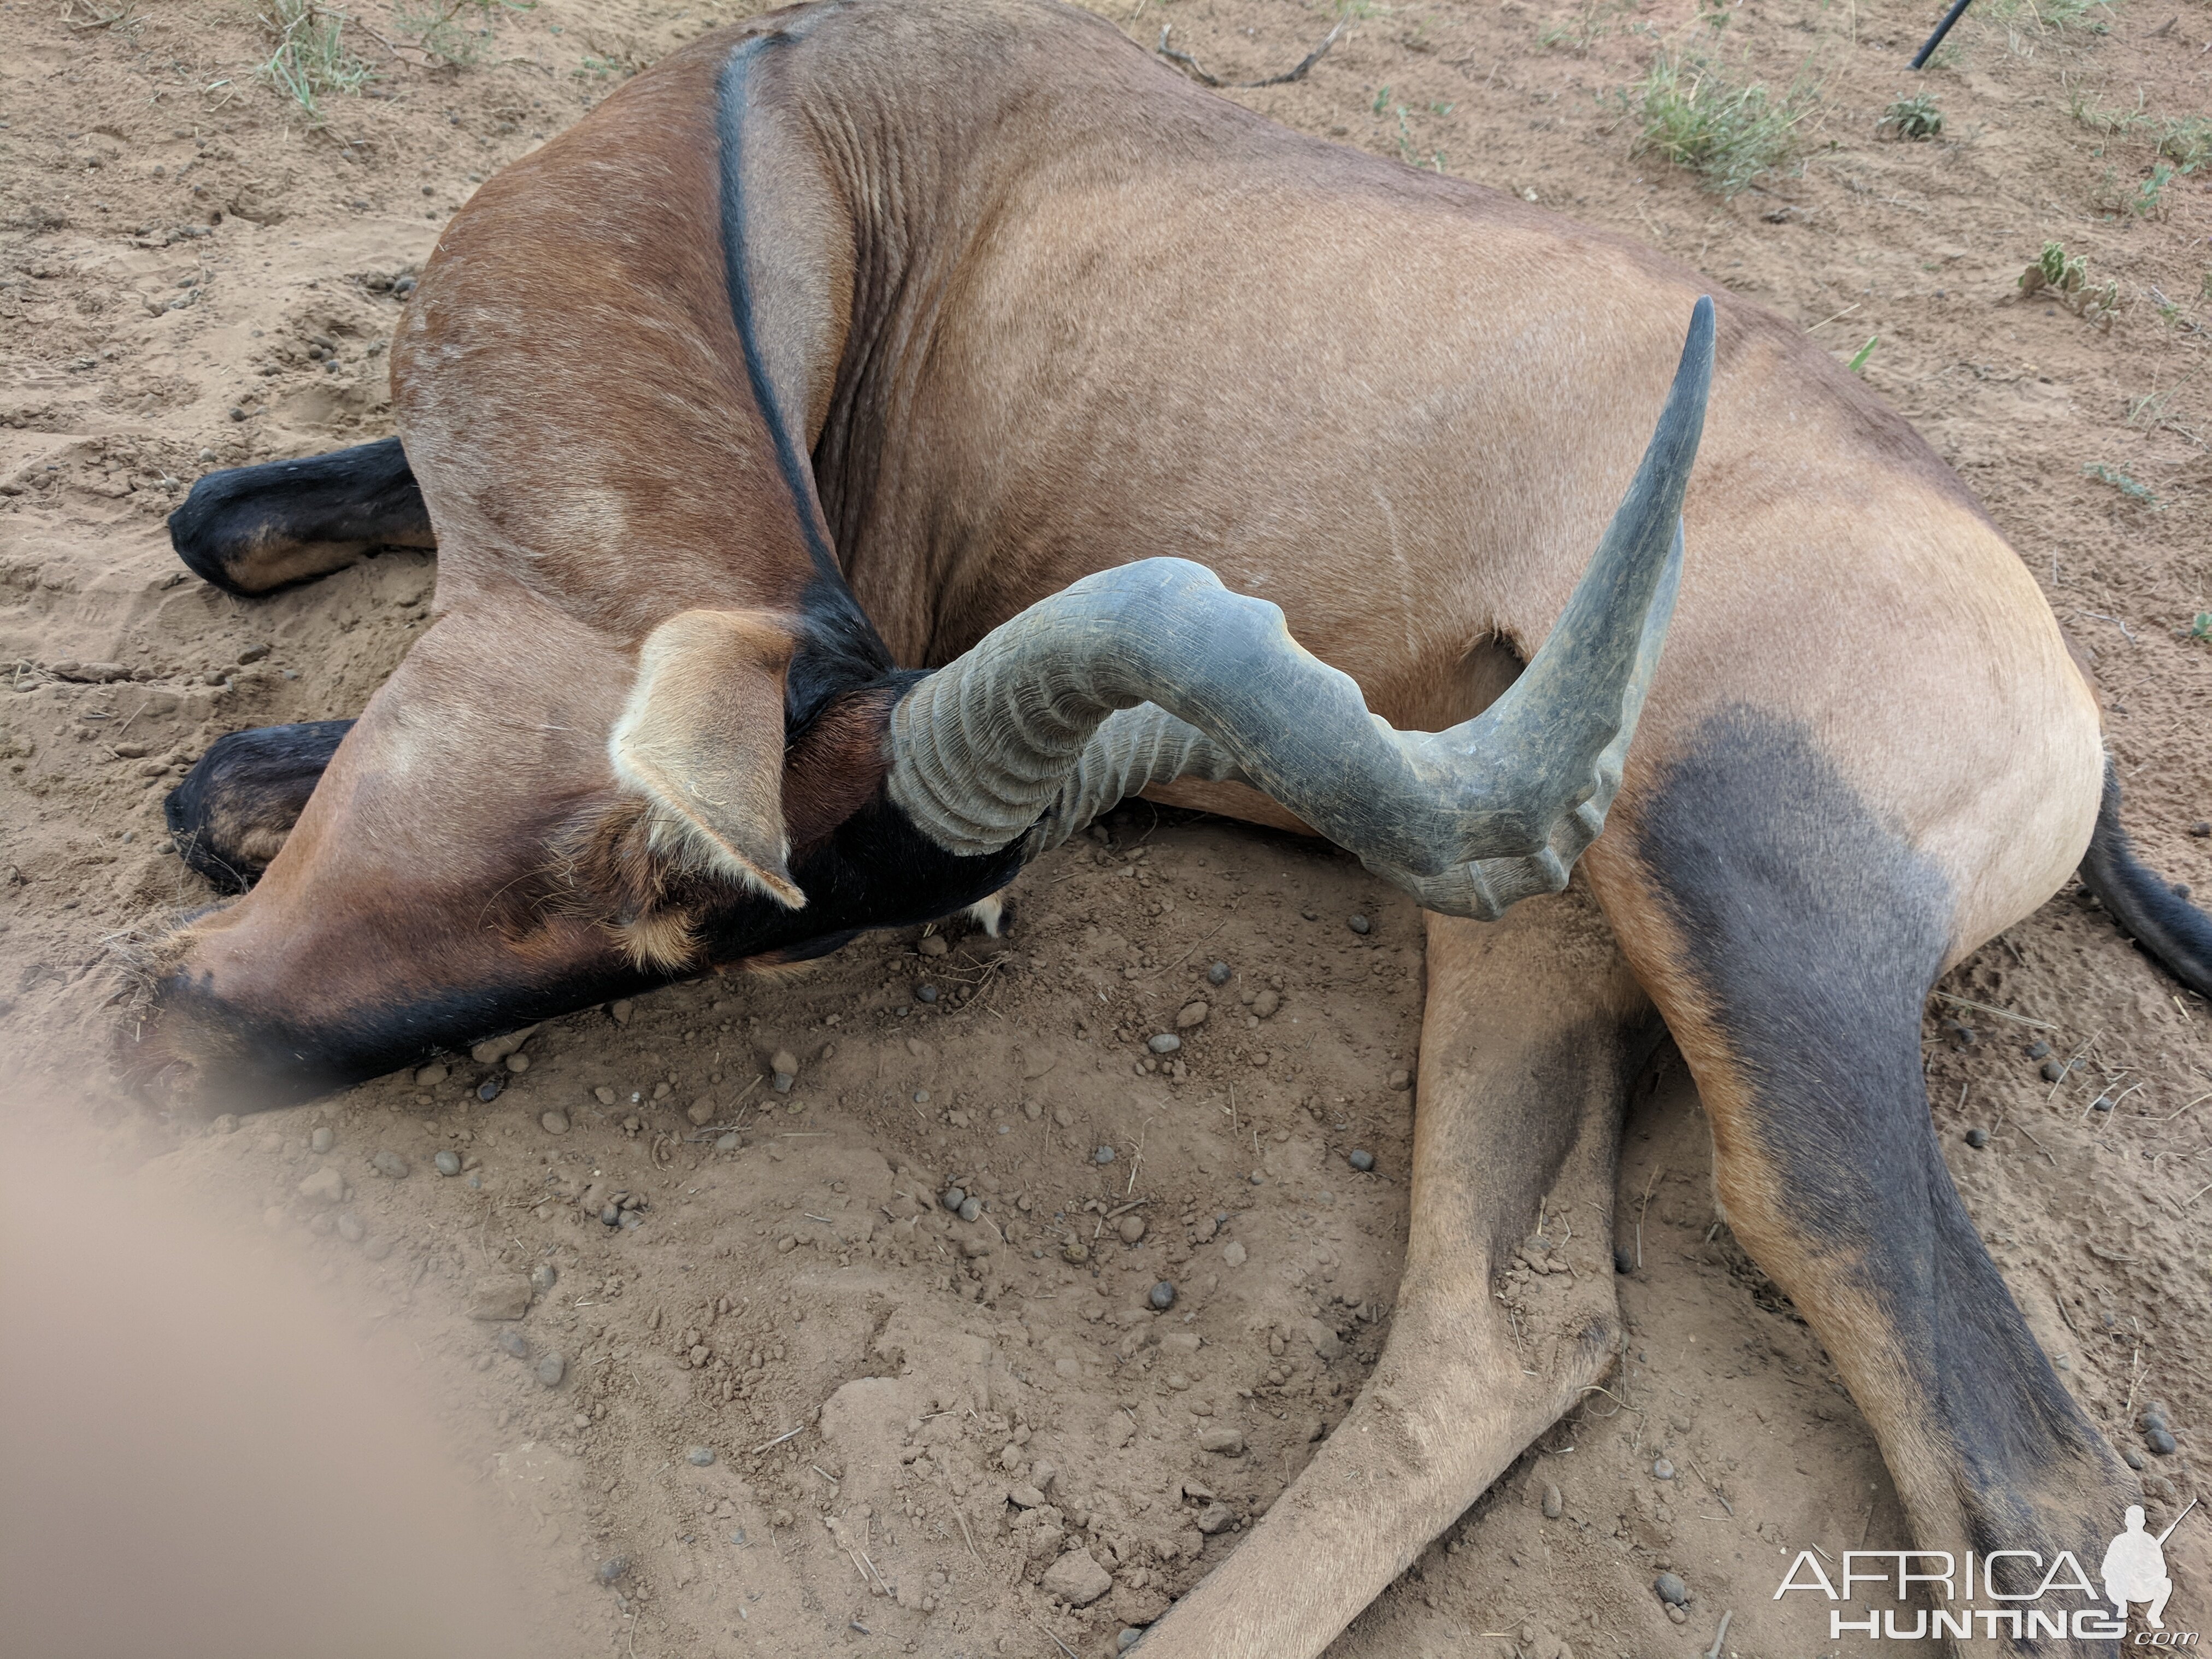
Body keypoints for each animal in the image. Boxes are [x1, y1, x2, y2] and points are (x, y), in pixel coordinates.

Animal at [133, 6, 2194, 1654]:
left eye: (651, 887)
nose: (184, 1046)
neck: (822, 125)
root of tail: (2060, 688)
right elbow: (216, 539)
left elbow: (221, 781)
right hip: (1533, 917)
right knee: (1494, 1333)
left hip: (1738, 893)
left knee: (2010, 1468)